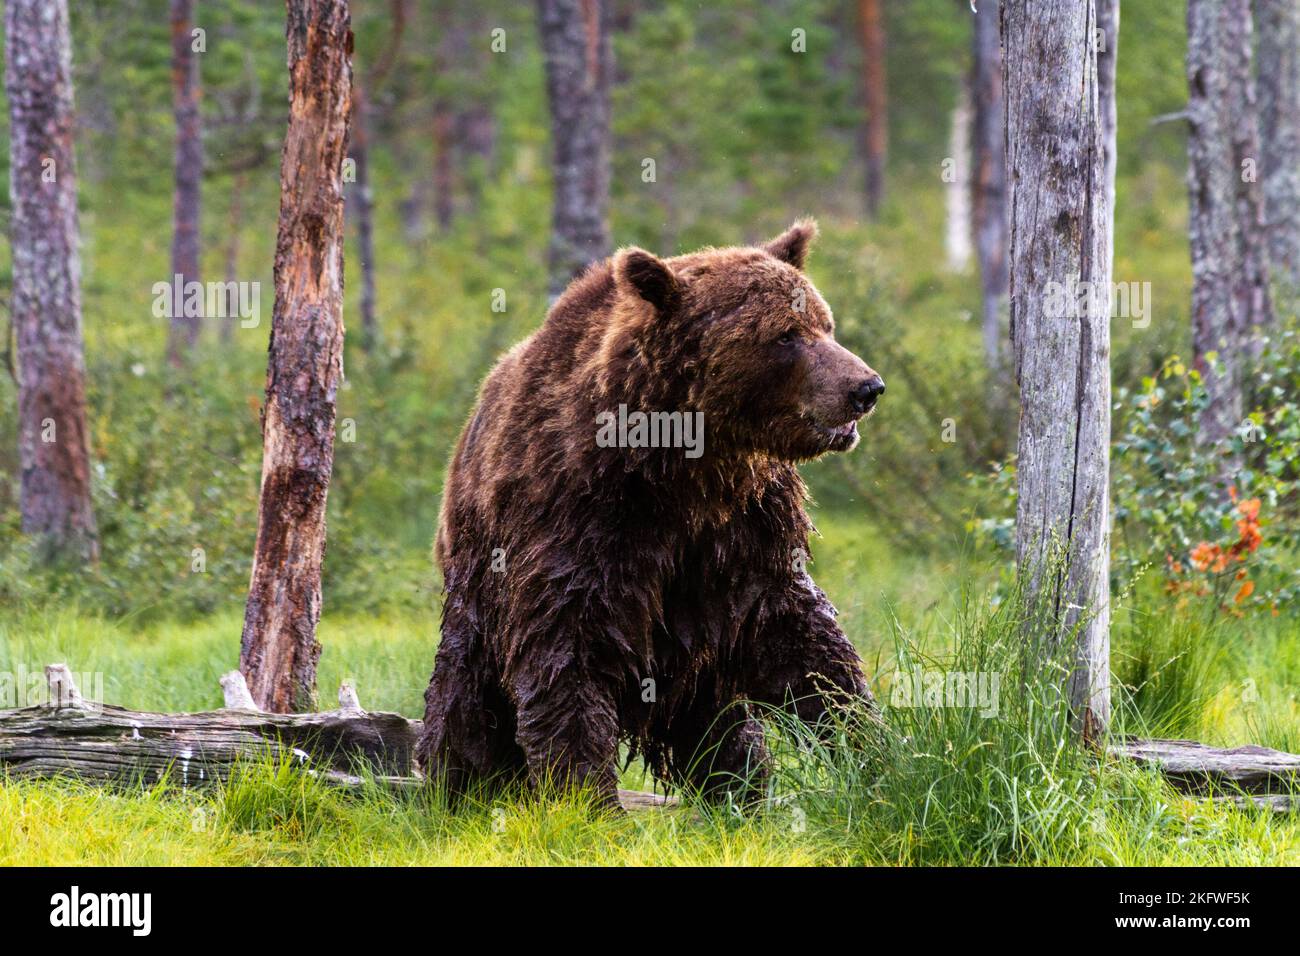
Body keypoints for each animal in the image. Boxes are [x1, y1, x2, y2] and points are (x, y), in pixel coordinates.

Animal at [416, 218, 883, 806]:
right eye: (784, 336)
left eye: (825, 324)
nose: (866, 387)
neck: (685, 470)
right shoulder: (580, 520)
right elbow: (567, 656)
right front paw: (587, 800)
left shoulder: (745, 532)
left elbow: (803, 640)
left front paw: (872, 746)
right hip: (478, 583)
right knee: (465, 699)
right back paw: (453, 785)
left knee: (720, 727)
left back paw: (740, 791)